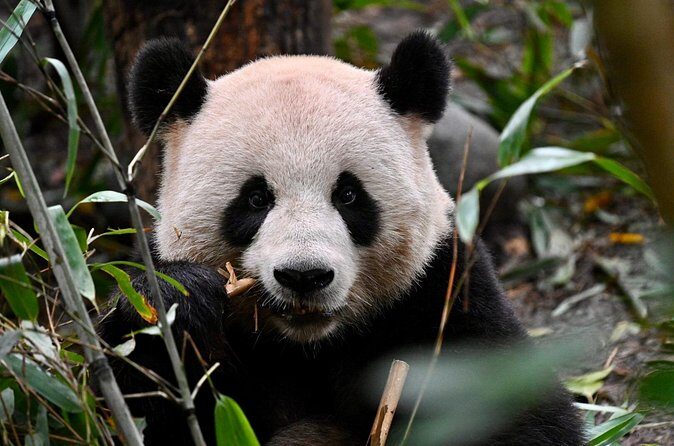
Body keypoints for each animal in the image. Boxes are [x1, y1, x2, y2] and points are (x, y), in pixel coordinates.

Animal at [100, 32, 584, 445]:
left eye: (348, 194)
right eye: (256, 198)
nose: (304, 276)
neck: (309, 345)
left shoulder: (442, 290)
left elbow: (517, 410)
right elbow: (127, 399)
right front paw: (179, 299)